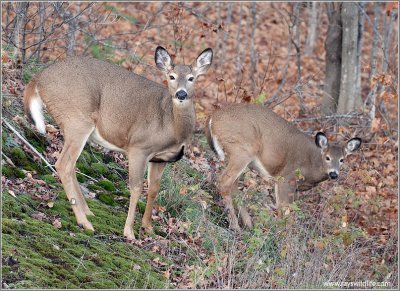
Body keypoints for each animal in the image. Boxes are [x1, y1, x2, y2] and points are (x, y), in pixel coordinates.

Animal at [23, 46, 212, 241]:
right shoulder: (138, 148)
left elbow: (154, 189)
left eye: (191, 78)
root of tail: (38, 79)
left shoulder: (161, 159)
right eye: (171, 76)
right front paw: (129, 232)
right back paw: (85, 222)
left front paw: (148, 227)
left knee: (71, 165)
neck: (171, 125)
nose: (181, 94)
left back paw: (88, 212)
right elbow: (136, 187)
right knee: (63, 164)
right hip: (77, 119)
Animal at [206, 104, 362, 232]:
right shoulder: (286, 177)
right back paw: (235, 226)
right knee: (224, 182)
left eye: (342, 160)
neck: (312, 164)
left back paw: (248, 224)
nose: (334, 174)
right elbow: (283, 210)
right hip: (241, 149)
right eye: (328, 157)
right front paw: (281, 236)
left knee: (233, 185)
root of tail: (213, 118)